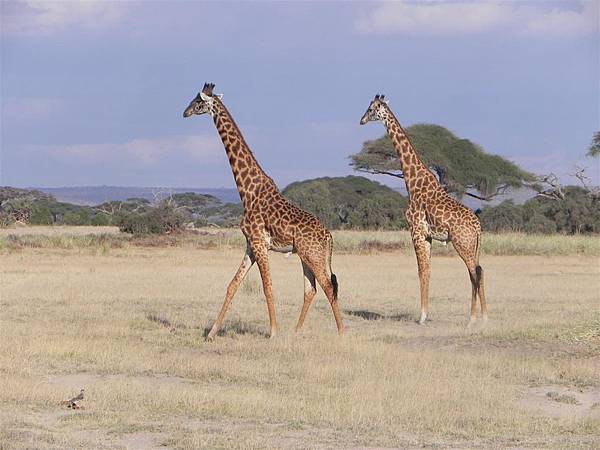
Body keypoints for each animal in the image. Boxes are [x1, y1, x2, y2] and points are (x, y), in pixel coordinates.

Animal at [182, 83, 342, 338]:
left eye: (198, 102)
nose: (184, 113)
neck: (247, 190)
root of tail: (328, 236)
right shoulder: (250, 244)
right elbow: (232, 285)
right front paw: (211, 332)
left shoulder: (259, 243)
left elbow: (267, 287)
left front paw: (273, 332)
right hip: (305, 256)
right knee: (311, 289)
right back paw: (296, 332)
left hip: (313, 255)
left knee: (328, 286)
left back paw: (342, 332)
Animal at [358, 95, 486, 326]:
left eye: (371, 109)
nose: (361, 120)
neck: (412, 181)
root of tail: (478, 227)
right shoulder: (427, 235)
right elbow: (428, 270)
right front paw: (425, 315)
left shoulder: (415, 230)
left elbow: (421, 271)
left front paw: (422, 317)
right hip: (474, 245)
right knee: (480, 271)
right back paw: (484, 317)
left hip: (462, 243)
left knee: (474, 272)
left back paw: (473, 318)